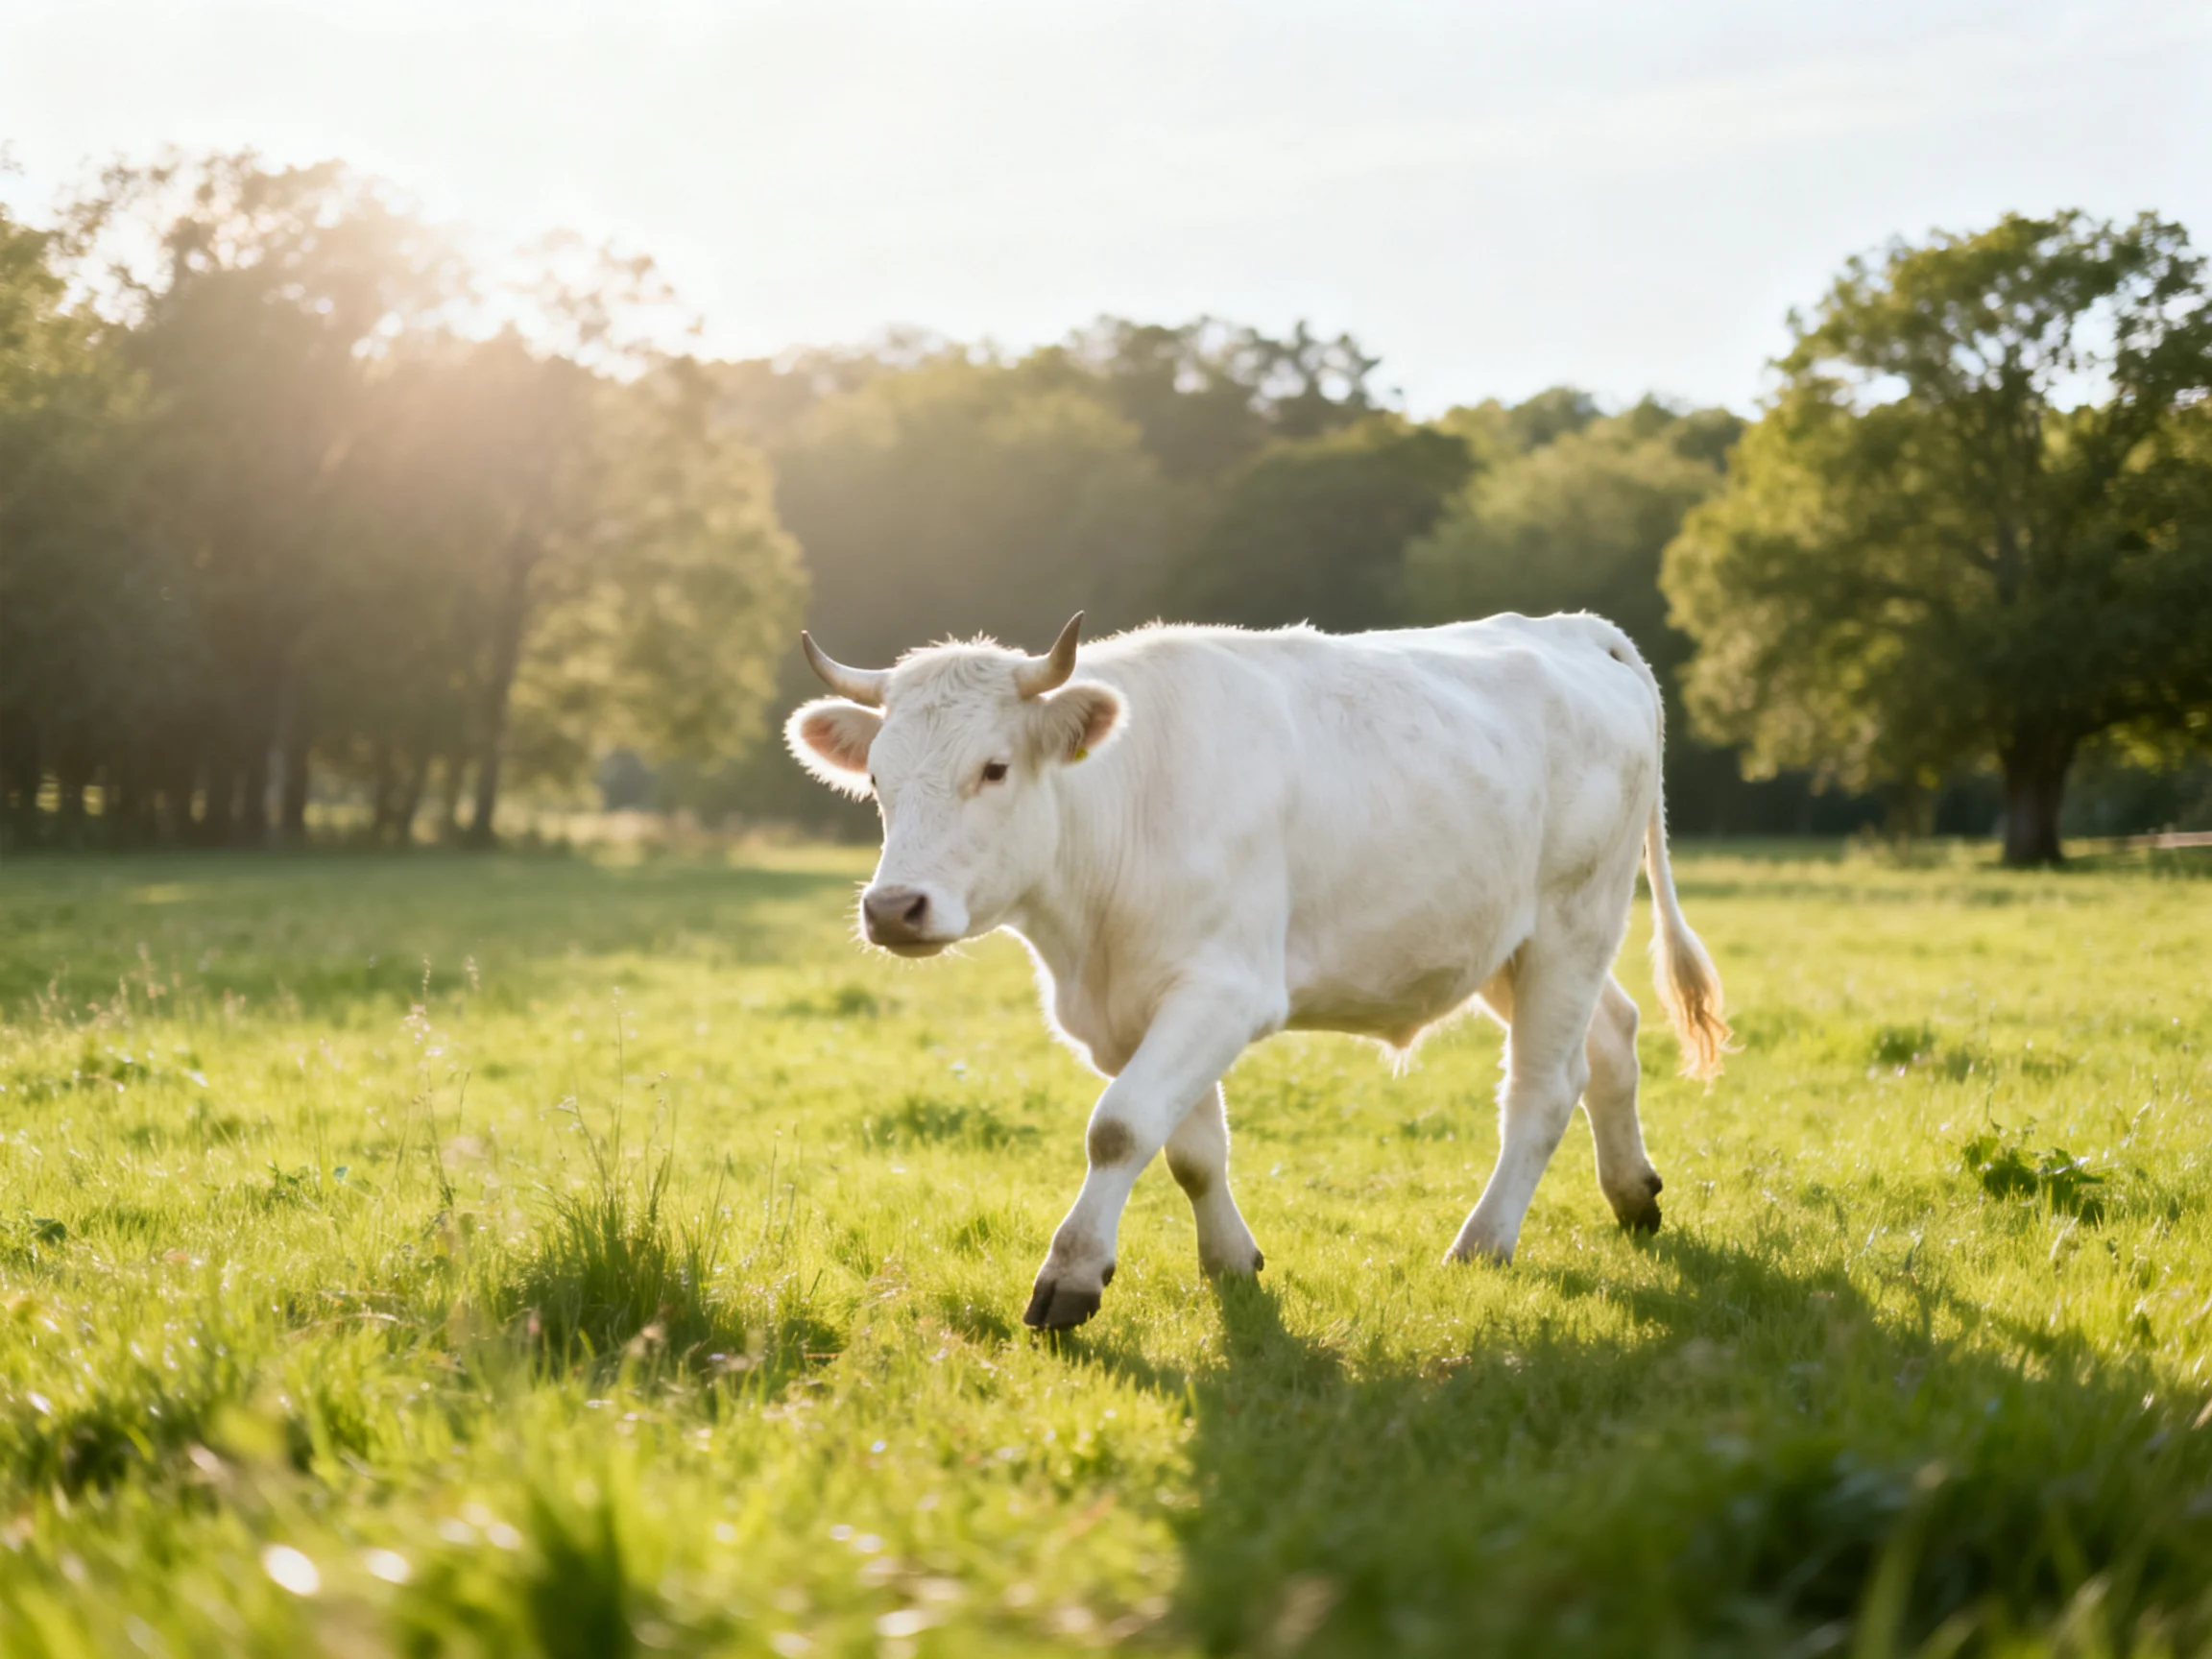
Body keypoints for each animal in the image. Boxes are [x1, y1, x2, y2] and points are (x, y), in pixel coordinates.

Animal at [786, 611, 1731, 1330]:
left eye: (993, 767)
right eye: (877, 780)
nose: (893, 907)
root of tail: (1574, 628)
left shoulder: (1223, 991)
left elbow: (1120, 1127)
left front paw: (1072, 1275)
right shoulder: (1143, 1007)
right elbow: (1190, 1148)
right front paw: (1230, 1260)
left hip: (1576, 919)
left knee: (1543, 1086)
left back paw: (1483, 1242)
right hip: (1507, 941)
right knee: (1611, 1036)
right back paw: (1633, 1195)